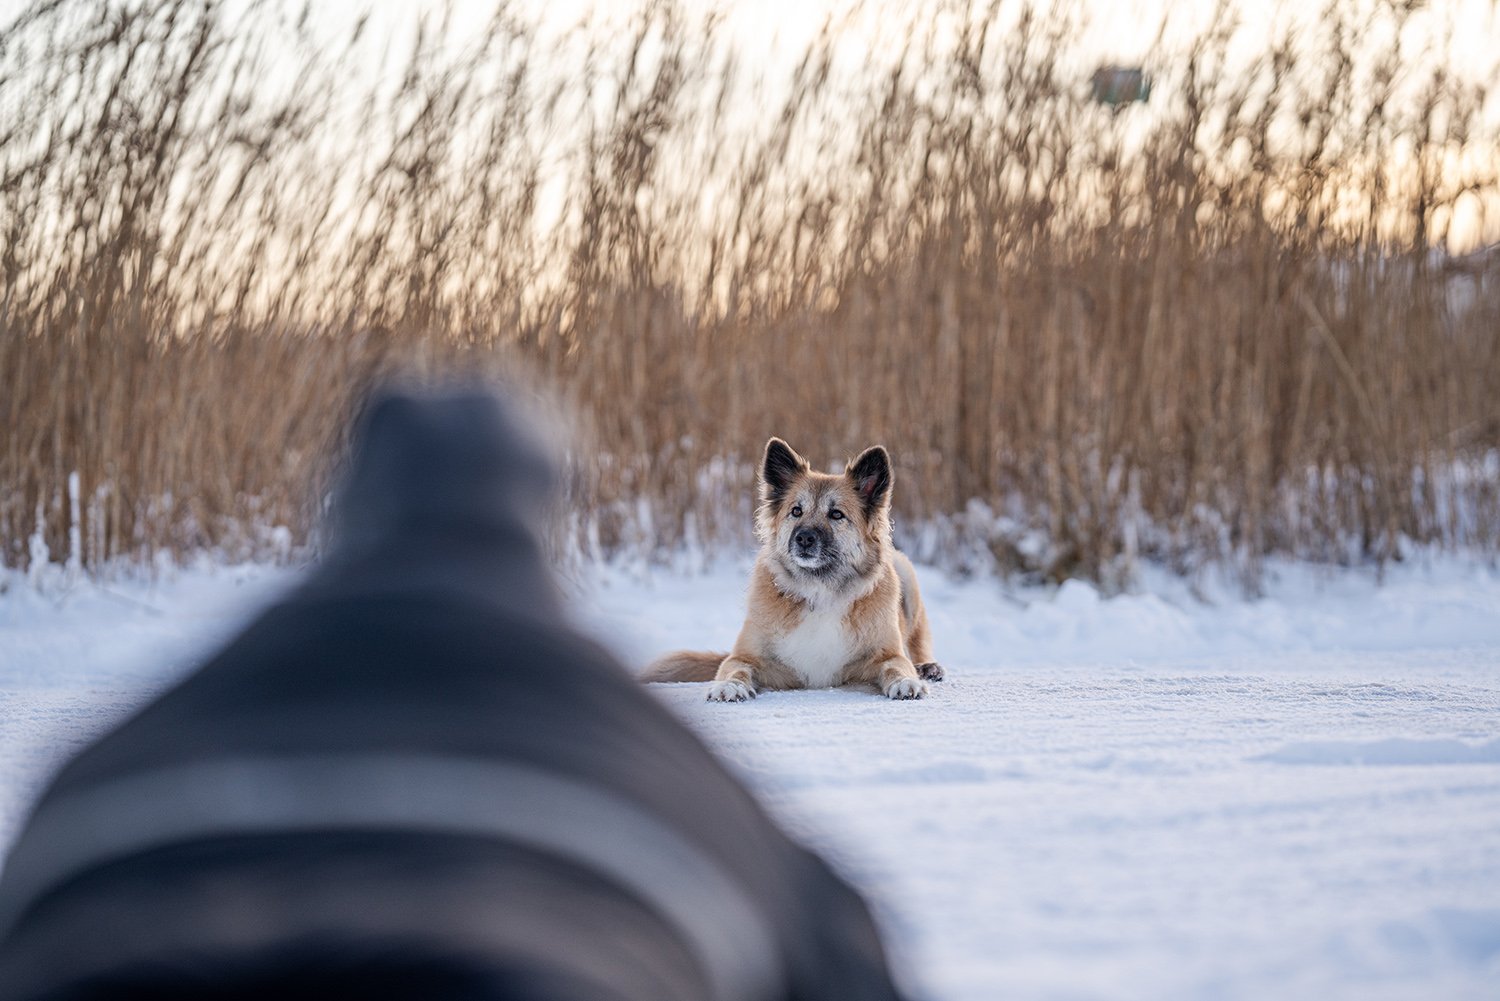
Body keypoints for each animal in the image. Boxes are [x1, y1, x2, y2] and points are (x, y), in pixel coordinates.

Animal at [639, 438, 942, 705]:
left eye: (836, 515)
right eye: (796, 511)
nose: (804, 538)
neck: (819, 589)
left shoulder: (887, 655)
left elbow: (897, 666)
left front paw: (907, 681)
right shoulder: (748, 657)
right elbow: (735, 668)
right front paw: (729, 686)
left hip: (905, 571)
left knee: (917, 644)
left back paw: (927, 667)